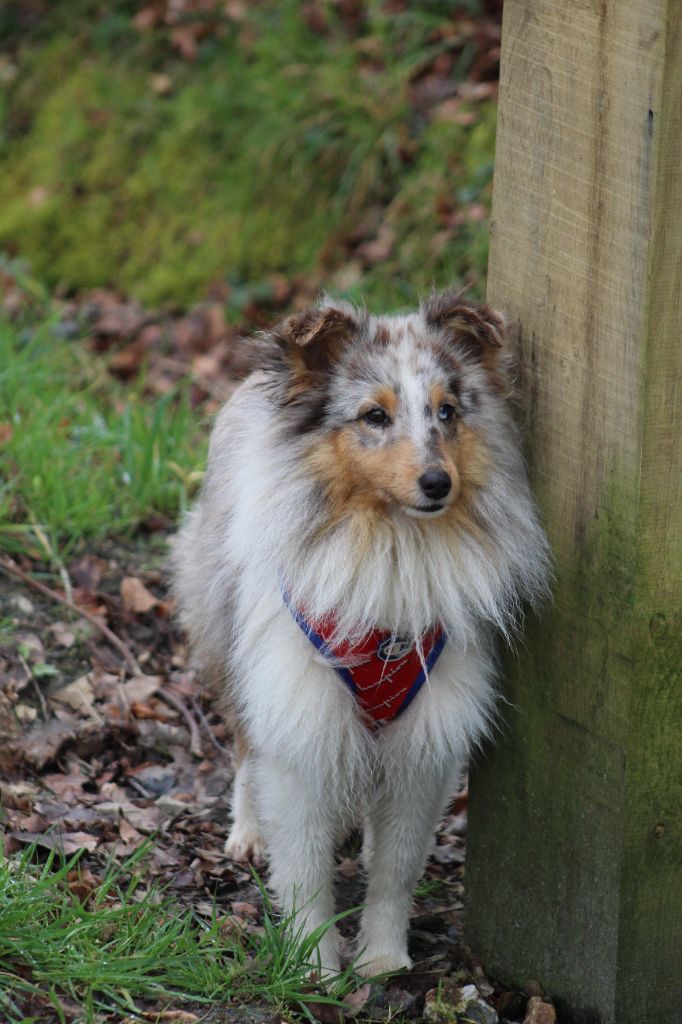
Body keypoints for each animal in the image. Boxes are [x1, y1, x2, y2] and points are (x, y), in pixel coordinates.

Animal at [171, 292, 548, 978]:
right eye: (375, 415)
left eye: (447, 411)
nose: (438, 483)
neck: (390, 544)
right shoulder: (299, 719)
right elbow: (304, 867)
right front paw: (313, 968)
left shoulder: (428, 740)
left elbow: (398, 867)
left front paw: (383, 961)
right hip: (225, 635)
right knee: (243, 745)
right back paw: (248, 832)